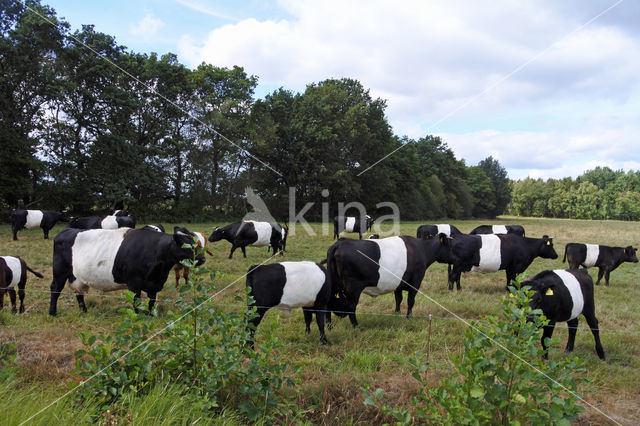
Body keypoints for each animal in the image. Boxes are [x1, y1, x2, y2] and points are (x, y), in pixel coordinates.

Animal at [48, 226, 204, 316]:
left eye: (196, 243)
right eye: (186, 246)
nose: (202, 258)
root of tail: (66, 231)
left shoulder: (154, 284)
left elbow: (151, 301)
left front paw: (149, 315)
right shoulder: (134, 283)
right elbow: (136, 301)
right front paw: (138, 316)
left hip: (77, 276)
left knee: (78, 292)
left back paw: (84, 311)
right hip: (60, 271)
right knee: (55, 289)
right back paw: (52, 313)